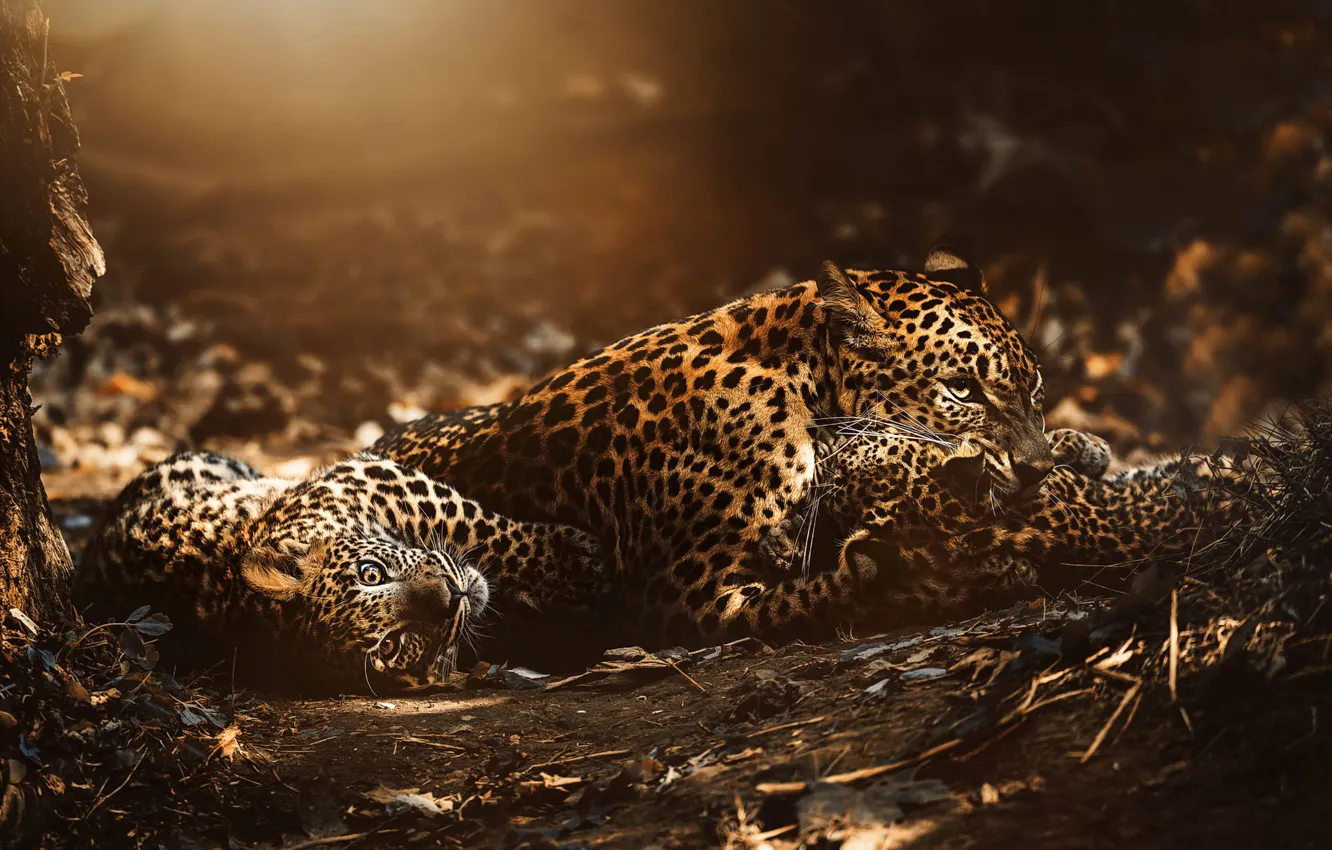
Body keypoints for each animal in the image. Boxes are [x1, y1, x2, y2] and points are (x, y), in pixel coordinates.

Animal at [76, 451, 604, 691]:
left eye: (371, 573)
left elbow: (469, 519)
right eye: (391, 646)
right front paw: (580, 563)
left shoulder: (368, 478)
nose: (451, 596)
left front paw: (571, 557)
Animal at [373, 249, 1066, 647]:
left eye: (1036, 389)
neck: (799, 384)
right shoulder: (688, 599)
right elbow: (829, 593)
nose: (1039, 470)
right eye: (962, 389)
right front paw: (972, 575)